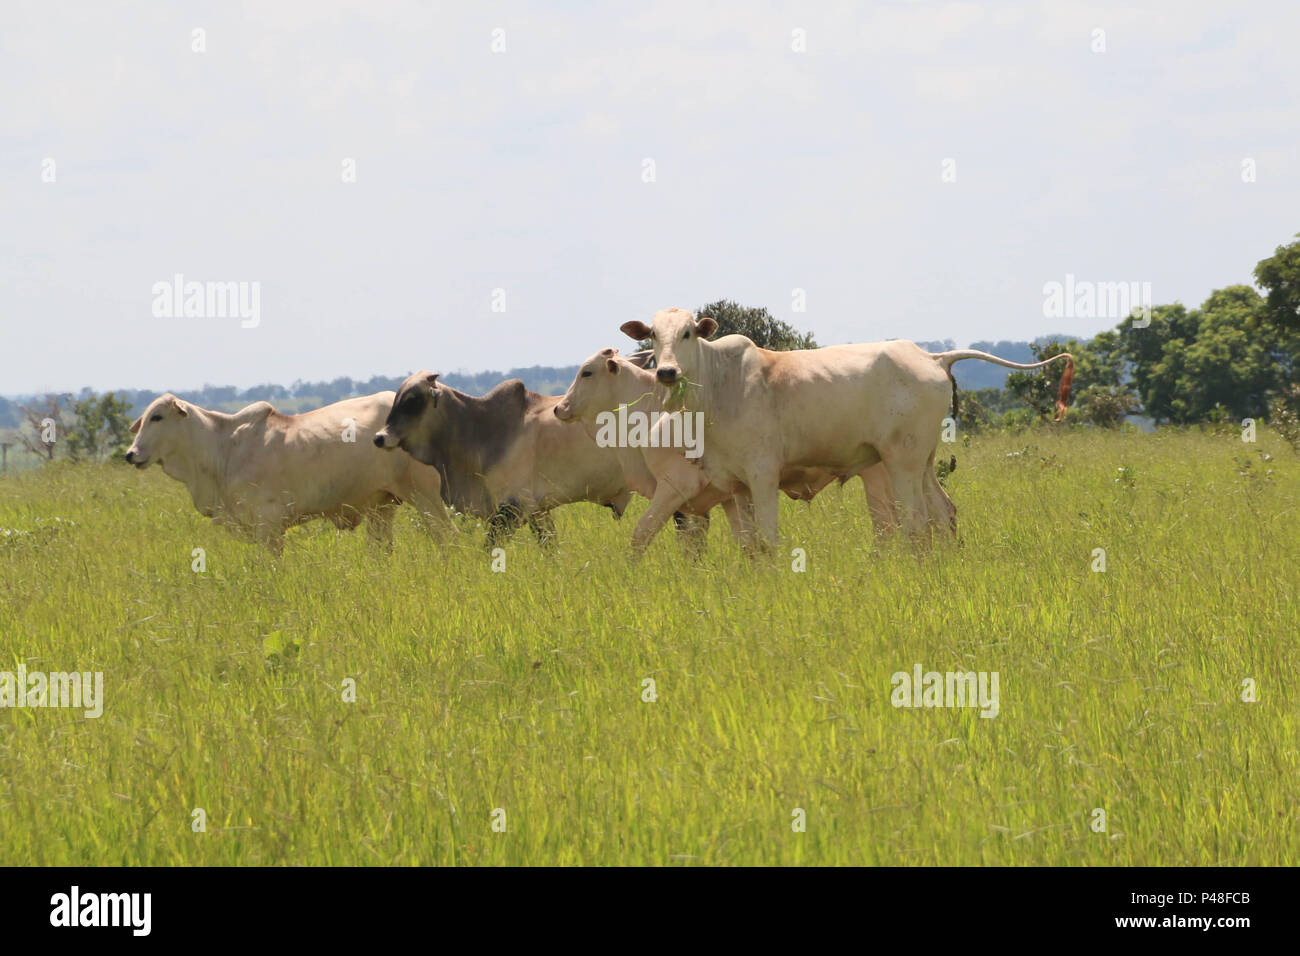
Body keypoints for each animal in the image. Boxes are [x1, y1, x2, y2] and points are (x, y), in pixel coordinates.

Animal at [124, 390, 454, 554]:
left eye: (157, 417)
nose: (130, 454)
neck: (223, 449)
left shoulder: (268, 523)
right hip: (381, 507)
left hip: (427, 497)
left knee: (448, 538)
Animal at [618, 310, 1076, 554]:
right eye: (653, 336)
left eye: (687, 332)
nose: (666, 371)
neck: (720, 384)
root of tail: (932, 356)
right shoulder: (736, 486)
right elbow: (751, 547)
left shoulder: (763, 476)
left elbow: (770, 540)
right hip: (924, 462)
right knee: (942, 514)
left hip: (902, 462)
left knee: (915, 523)